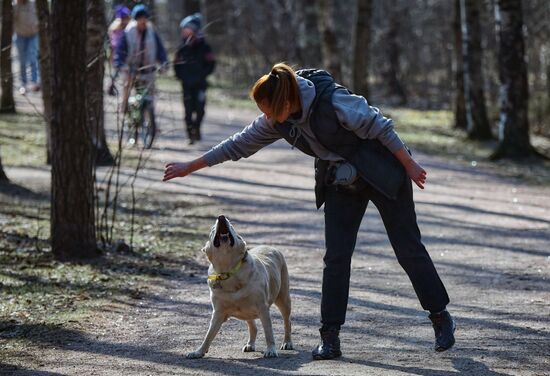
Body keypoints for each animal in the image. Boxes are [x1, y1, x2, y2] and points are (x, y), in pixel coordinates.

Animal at [187, 214, 294, 358]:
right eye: (212, 229)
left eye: (232, 227)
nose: (221, 217)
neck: (229, 271)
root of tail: (270, 246)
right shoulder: (218, 312)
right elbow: (209, 335)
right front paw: (199, 351)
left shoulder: (263, 308)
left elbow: (268, 332)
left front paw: (271, 349)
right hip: (247, 312)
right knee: (253, 327)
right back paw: (250, 344)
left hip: (283, 298)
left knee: (287, 321)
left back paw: (287, 342)